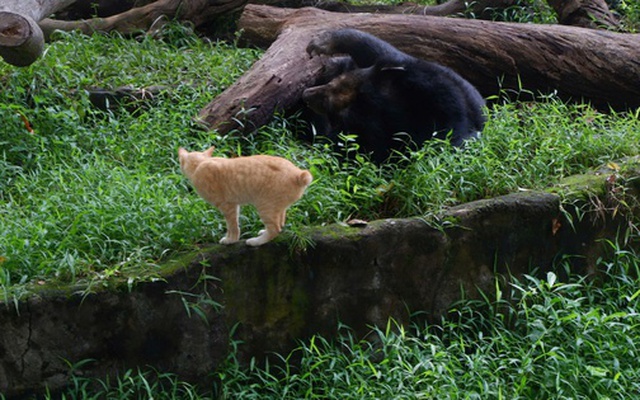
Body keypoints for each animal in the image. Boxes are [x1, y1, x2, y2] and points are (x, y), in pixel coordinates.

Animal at [178, 148, 312, 247]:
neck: (199, 164)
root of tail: (298, 173)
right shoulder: (234, 205)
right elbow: (232, 225)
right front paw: (229, 237)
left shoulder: (227, 206)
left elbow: (232, 226)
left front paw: (231, 240)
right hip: (277, 207)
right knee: (280, 223)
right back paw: (263, 232)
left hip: (265, 206)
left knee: (275, 229)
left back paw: (256, 241)